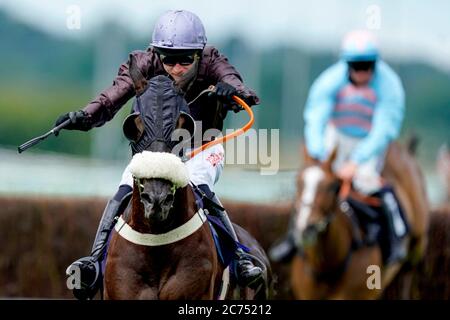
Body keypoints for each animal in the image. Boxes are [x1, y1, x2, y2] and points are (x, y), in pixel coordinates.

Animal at [290, 140, 428, 300]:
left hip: (417, 243)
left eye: (332, 186)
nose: (306, 228)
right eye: (297, 183)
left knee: (407, 273)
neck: (327, 267)